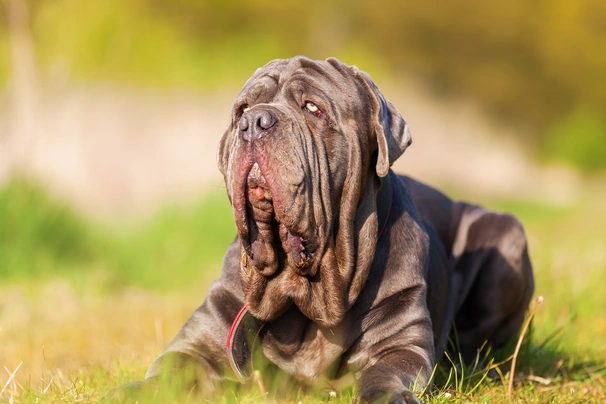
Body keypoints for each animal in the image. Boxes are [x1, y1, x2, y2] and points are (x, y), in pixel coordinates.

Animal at [104, 56, 536, 404]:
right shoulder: (200, 340)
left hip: (506, 237)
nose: (254, 121)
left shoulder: (399, 344)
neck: (301, 288)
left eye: (313, 108)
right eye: (241, 109)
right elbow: (167, 373)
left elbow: (385, 374)